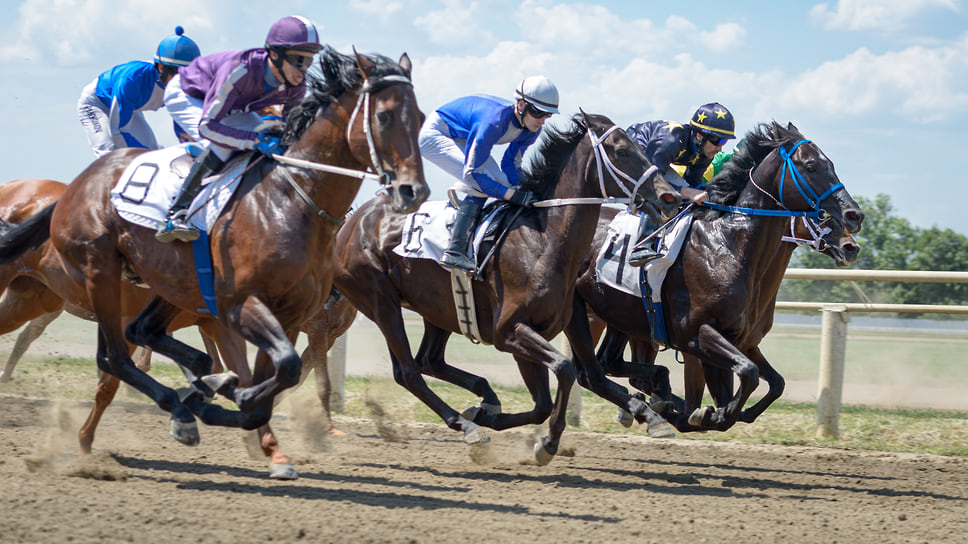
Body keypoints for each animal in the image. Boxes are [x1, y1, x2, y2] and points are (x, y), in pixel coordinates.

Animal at [0, 47, 428, 446]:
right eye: (384, 116)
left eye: (421, 118)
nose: (413, 191)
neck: (289, 201)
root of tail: (74, 187)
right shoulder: (246, 307)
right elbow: (284, 373)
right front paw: (218, 400)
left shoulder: (288, 318)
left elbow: (278, 379)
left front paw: (223, 399)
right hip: (99, 274)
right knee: (115, 357)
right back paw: (182, 403)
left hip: (85, 292)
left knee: (137, 336)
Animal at [336, 112, 676, 466]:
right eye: (621, 150)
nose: (670, 196)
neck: (543, 241)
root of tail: (350, 223)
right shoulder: (509, 331)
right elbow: (564, 369)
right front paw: (546, 442)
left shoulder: (539, 329)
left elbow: (546, 400)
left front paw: (490, 415)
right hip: (381, 301)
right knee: (408, 371)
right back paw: (465, 424)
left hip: (438, 308)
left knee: (429, 360)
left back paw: (483, 399)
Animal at [564, 120, 864, 434]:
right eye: (810, 166)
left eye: (830, 164)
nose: (854, 217)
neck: (729, 245)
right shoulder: (696, 335)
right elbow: (746, 376)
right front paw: (699, 414)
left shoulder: (740, 340)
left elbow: (767, 383)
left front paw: (719, 413)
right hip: (583, 312)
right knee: (591, 373)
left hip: (619, 314)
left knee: (608, 362)